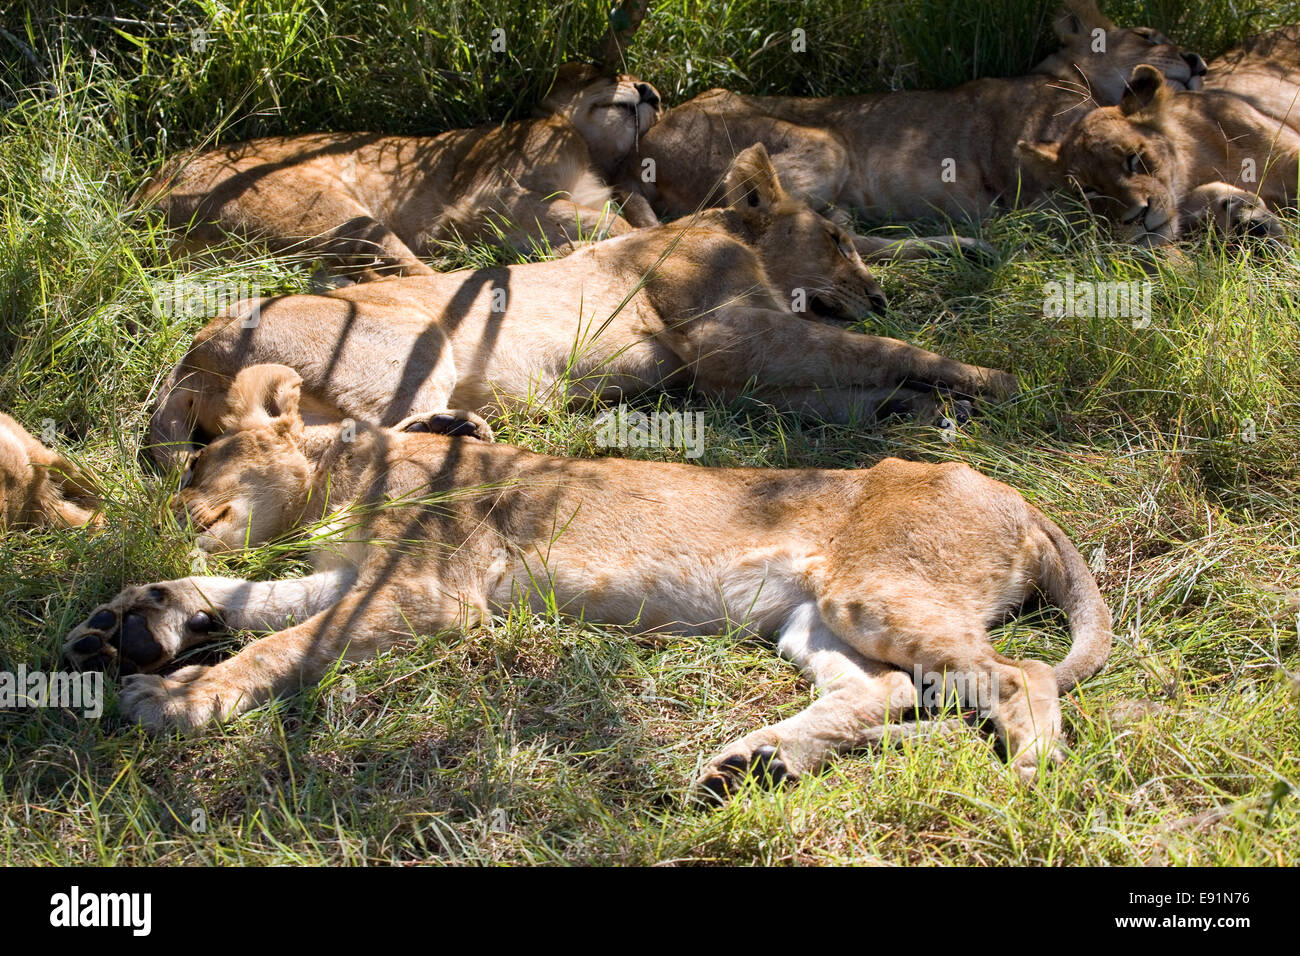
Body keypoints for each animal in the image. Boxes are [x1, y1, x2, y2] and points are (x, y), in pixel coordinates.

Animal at [62, 362, 1112, 790]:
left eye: (198, 459)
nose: (167, 512)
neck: (341, 477)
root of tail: (1009, 491)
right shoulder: (357, 580)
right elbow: (258, 601)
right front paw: (138, 620)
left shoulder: (429, 598)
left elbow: (279, 642)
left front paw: (179, 698)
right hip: (814, 618)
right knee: (885, 690)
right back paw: (751, 765)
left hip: (873, 591)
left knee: (1018, 677)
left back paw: (1030, 780)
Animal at [139, 64, 663, 281]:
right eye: (610, 73)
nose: (652, 92)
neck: (593, 155)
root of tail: (144, 193)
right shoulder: (483, 204)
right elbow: (611, 220)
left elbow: (632, 210)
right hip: (339, 215)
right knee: (422, 276)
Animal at [147, 144, 1015, 470]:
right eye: (833, 237)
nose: (878, 295)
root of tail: (194, 350)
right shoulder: (726, 334)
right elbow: (885, 351)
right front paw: (995, 379)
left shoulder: (730, 373)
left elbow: (852, 381)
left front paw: (920, 407)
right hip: (410, 340)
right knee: (342, 440)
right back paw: (462, 434)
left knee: (297, 441)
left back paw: (460, 431)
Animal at [614, 0, 1206, 261]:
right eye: (1148, 34)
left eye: (1136, 159)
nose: (1197, 59)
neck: (1065, 83)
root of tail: (636, 156)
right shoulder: (1038, 207)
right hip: (824, 144)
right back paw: (969, 245)